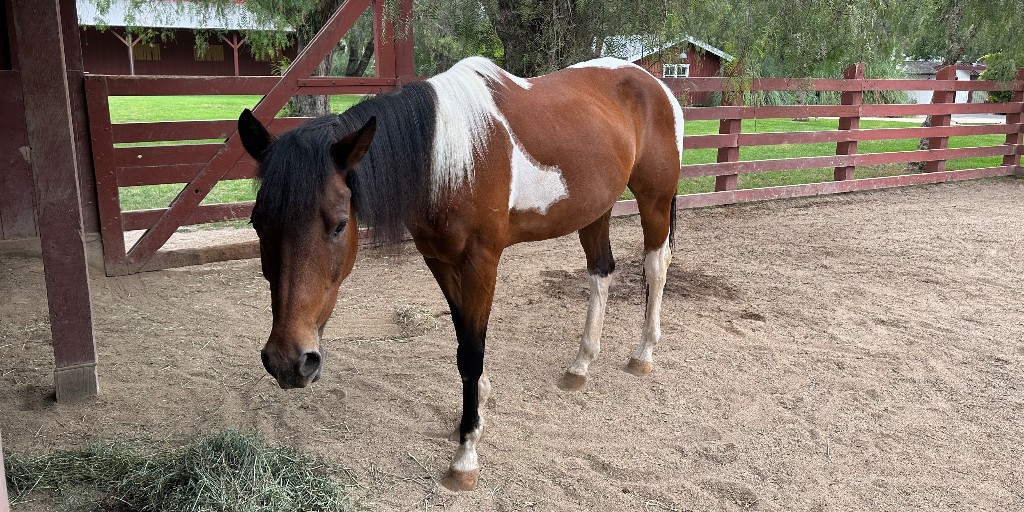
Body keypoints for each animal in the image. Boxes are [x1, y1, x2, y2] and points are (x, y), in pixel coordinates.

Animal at [237, 56, 684, 491]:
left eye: (339, 224)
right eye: (258, 223)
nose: (288, 361)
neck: (450, 158)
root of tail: (654, 83)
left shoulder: (481, 261)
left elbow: (472, 351)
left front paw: (466, 454)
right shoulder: (439, 260)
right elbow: (462, 343)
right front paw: (475, 412)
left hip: (655, 198)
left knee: (656, 267)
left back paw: (643, 353)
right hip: (596, 209)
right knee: (600, 272)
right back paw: (581, 365)